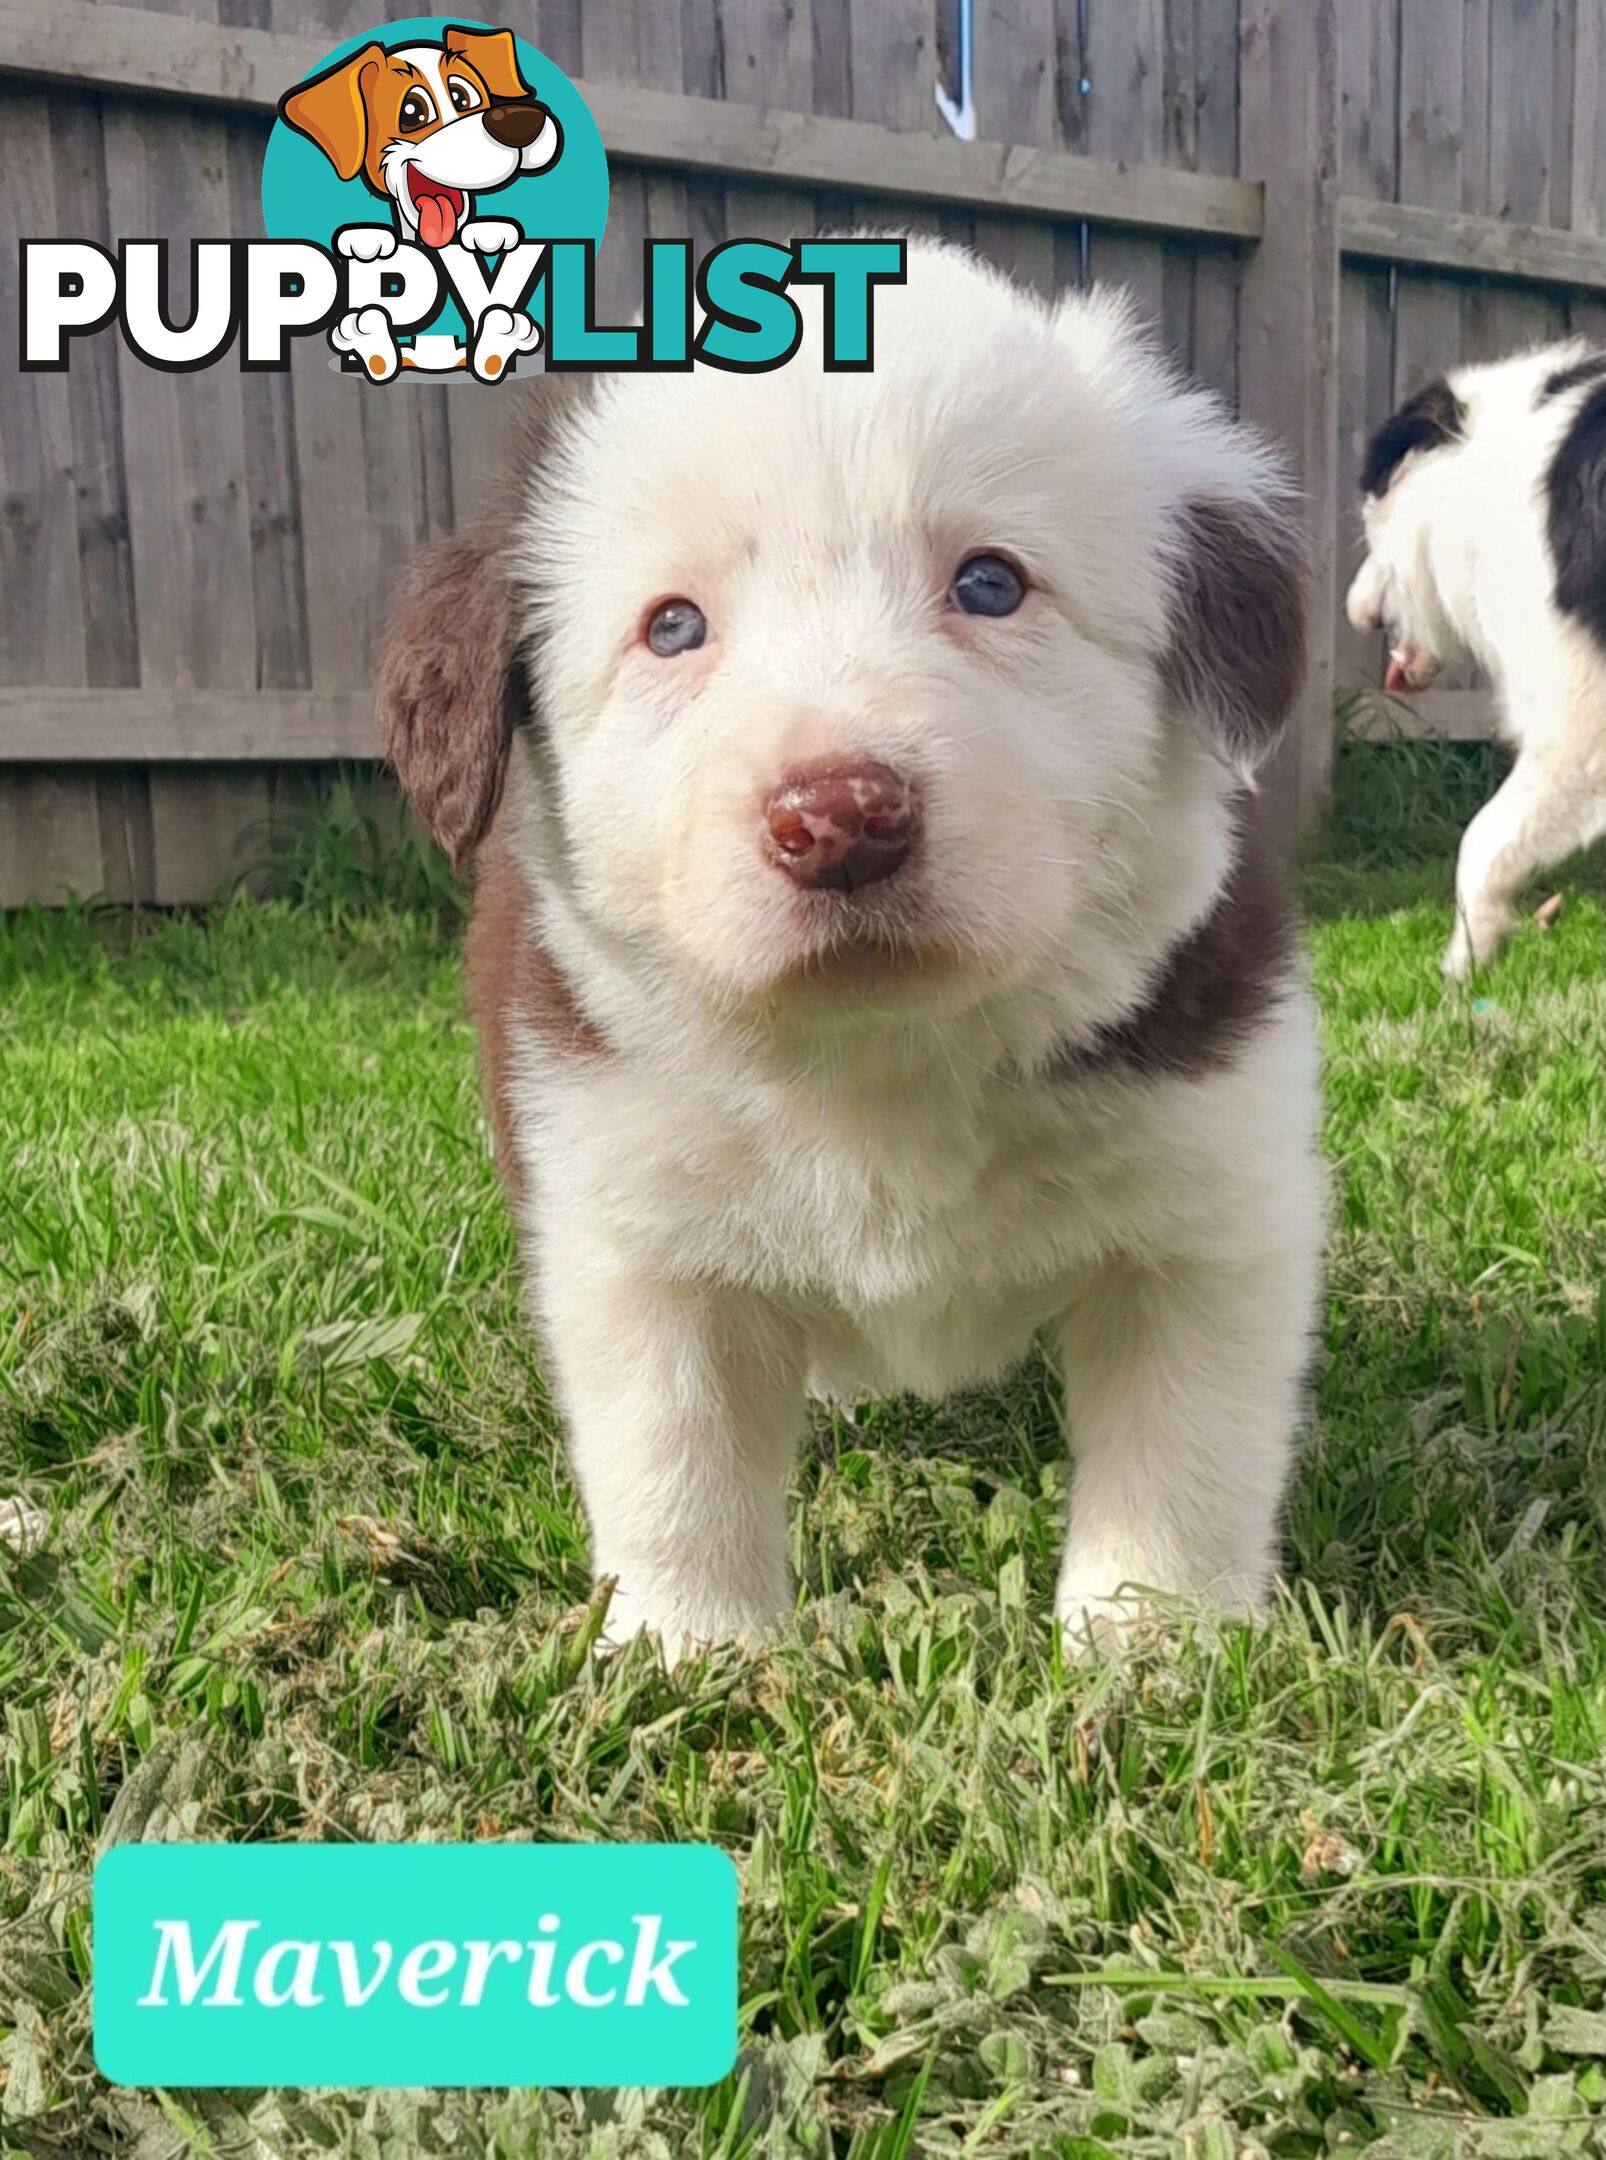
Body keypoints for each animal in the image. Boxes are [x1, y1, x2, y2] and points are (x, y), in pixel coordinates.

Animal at [379, 240, 1329, 1650]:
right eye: (672, 625)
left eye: (990, 582)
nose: (839, 819)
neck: (880, 1054)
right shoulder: (630, 1219)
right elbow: (675, 1454)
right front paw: (691, 1646)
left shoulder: (1206, 1212)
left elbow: (1180, 1450)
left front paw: (1151, 1643)